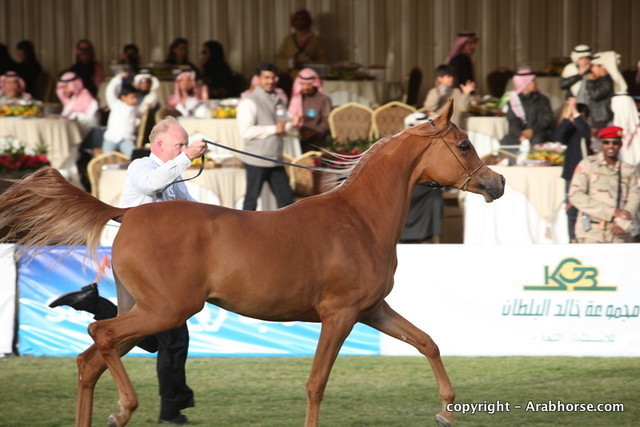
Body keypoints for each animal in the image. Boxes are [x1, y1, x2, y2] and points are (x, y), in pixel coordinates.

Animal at [0, 99, 504, 426]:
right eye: (463, 145)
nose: (497, 184)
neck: (358, 218)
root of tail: (128, 213)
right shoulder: (340, 315)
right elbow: (316, 383)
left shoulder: (372, 311)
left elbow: (427, 343)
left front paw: (445, 410)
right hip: (165, 311)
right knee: (98, 335)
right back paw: (125, 408)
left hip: (144, 312)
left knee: (89, 359)